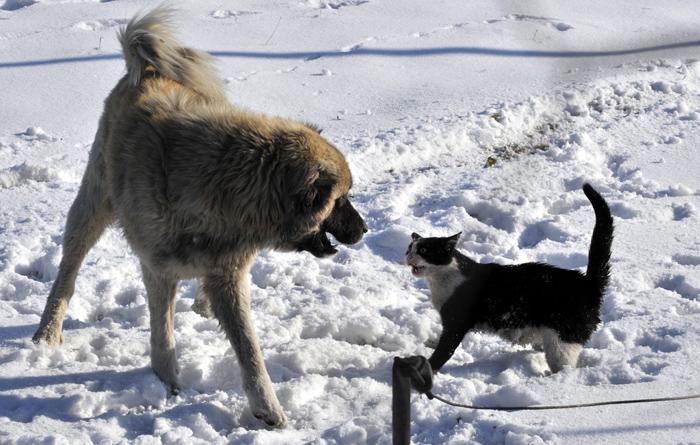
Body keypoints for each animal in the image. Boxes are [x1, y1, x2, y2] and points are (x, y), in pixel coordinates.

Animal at [32, 5, 370, 424]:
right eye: (341, 200)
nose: (365, 228)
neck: (227, 187)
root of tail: (149, 69)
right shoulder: (158, 268)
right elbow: (163, 335)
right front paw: (167, 385)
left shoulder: (229, 272)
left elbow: (249, 348)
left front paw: (265, 406)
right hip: (93, 203)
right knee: (69, 270)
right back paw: (47, 333)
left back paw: (202, 306)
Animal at [404, 182, 612, 372]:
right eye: (409, 248)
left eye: (423, 250)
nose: (408, 255)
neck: (440, 279)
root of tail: (587, 283)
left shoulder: (455, 325)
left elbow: (442, 353)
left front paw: (427, 371)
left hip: (561, 342)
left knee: (565, 368)